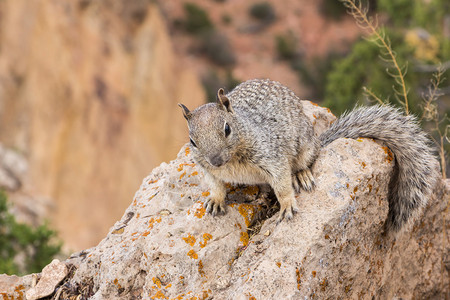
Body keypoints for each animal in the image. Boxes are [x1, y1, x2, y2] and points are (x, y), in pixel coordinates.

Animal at [179, 78, 440, 231]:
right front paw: (215, 200)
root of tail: (317, 139)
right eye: (192, 141)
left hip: (304, 148)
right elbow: (216, 185)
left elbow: (282, 185)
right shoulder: (207, 169)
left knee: (304, 163)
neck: (232, 162)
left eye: (227, 129)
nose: (216, 160)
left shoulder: (272, 158)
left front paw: (286, 206)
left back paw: (301, 175)